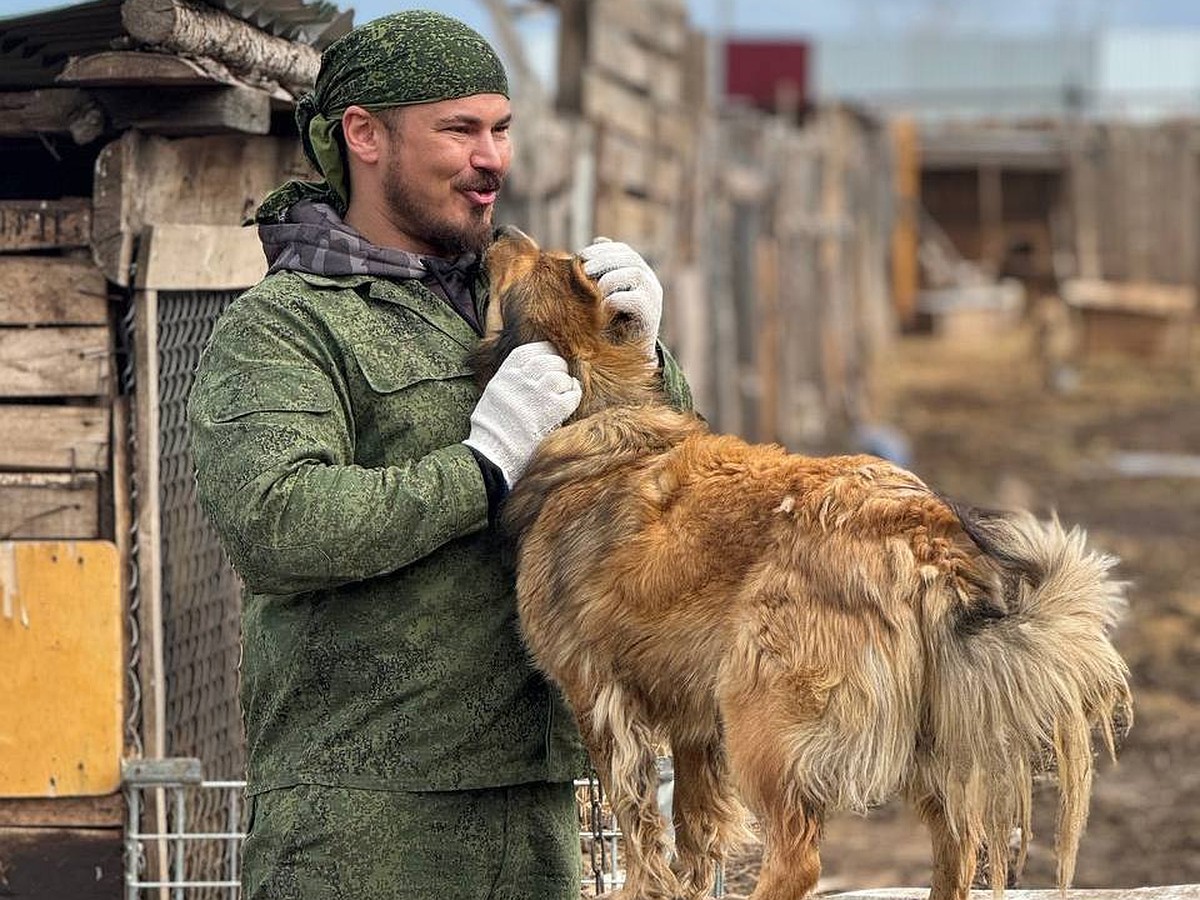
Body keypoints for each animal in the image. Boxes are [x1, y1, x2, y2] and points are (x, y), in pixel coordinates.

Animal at [470, 230, 1132, 900]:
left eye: (538, 260)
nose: (500, 232)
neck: (599, 398)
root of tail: (923, 533)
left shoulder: (601, 699)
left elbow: (638, 828)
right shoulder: (691, 721)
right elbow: (694, 829)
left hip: (761, 715)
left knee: (799, 858)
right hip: (923, 734)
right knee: (958, 844)